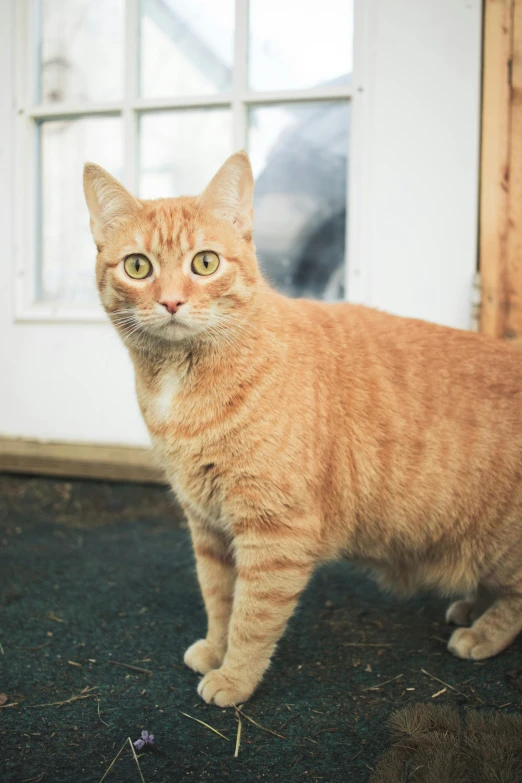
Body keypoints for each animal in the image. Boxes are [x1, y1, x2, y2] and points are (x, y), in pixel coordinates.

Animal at [82, 153, 522, 712]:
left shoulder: (274, 531)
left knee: (517, 599)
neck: (183, 384)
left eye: (205, 263)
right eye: (138, 266)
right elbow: (219, 599)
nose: (173, 303)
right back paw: (470, 606)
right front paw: (216, 648)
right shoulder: (208, 526)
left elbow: (252, 616)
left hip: (500, 545)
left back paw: (482, 632)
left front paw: (235, 677)